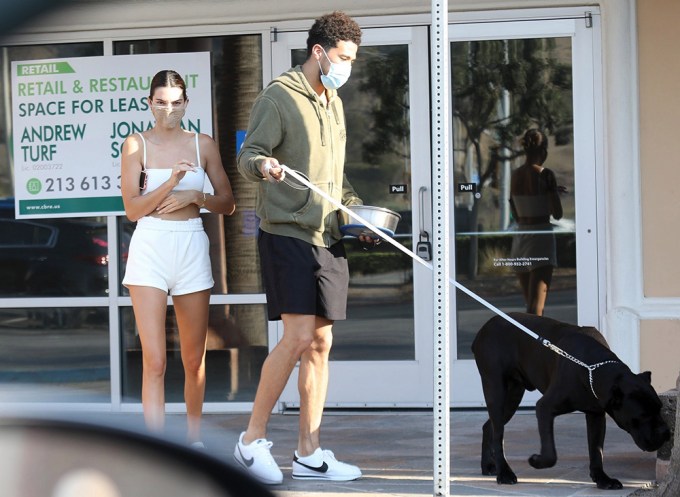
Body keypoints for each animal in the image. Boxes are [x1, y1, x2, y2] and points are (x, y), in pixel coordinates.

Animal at [472, 312, 668, 490]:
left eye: (659, 408)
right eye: (642, 415)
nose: (665, 432)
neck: (591, 368)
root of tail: (484, 329)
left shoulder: (596, 415)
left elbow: (596, 450)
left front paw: (602, 479)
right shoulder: (545, 408)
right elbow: (551, 453)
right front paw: (536, 461)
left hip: (512, 396)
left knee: (489, 427)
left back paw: (488, 465)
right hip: (496, 389)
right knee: (498, 433)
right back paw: (504, 473)